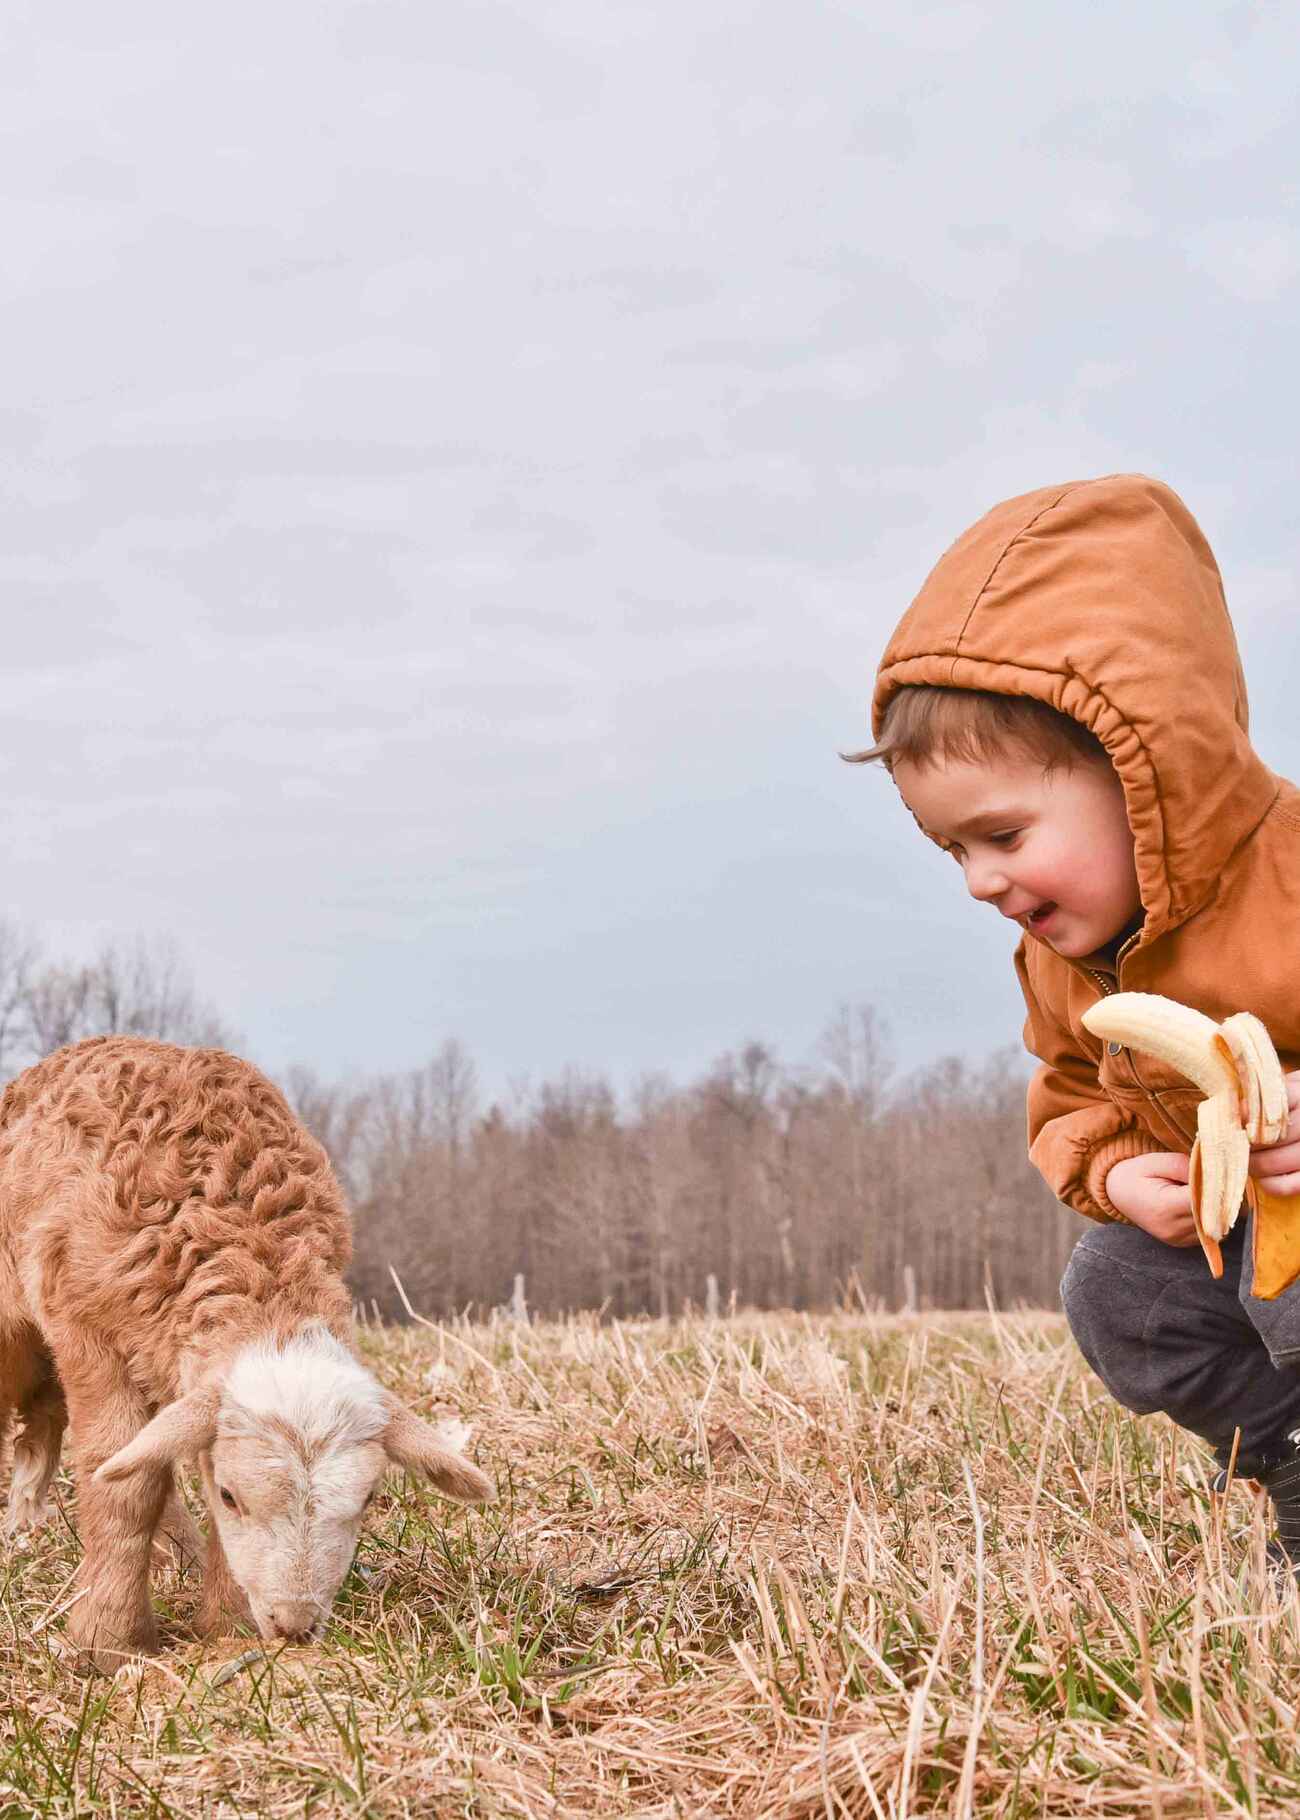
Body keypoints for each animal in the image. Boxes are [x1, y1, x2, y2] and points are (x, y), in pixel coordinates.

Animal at [0, 1036, 493, 1672]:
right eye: (232, 1496)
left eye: (369, 1499)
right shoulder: (88, 1334)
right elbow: (122, 1484)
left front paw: (227, 1632)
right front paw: (107, 1641)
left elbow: (144, 1468)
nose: (294, 1626)